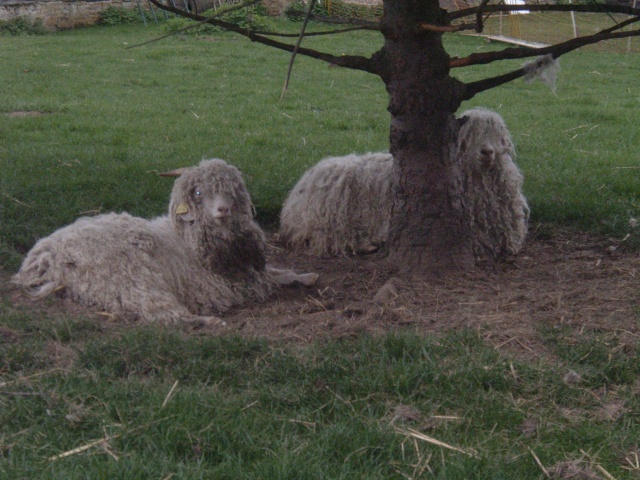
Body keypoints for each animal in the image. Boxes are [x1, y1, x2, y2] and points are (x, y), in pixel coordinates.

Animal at [12, 158, 318, 326]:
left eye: (232, 191)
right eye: (198, 193)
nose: (222, 210)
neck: (188, 241)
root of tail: (48, 257)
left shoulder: (255, 272)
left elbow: (279, 273)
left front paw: (306, 275)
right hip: (134, 280)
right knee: (162, 314)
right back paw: (207, 321)